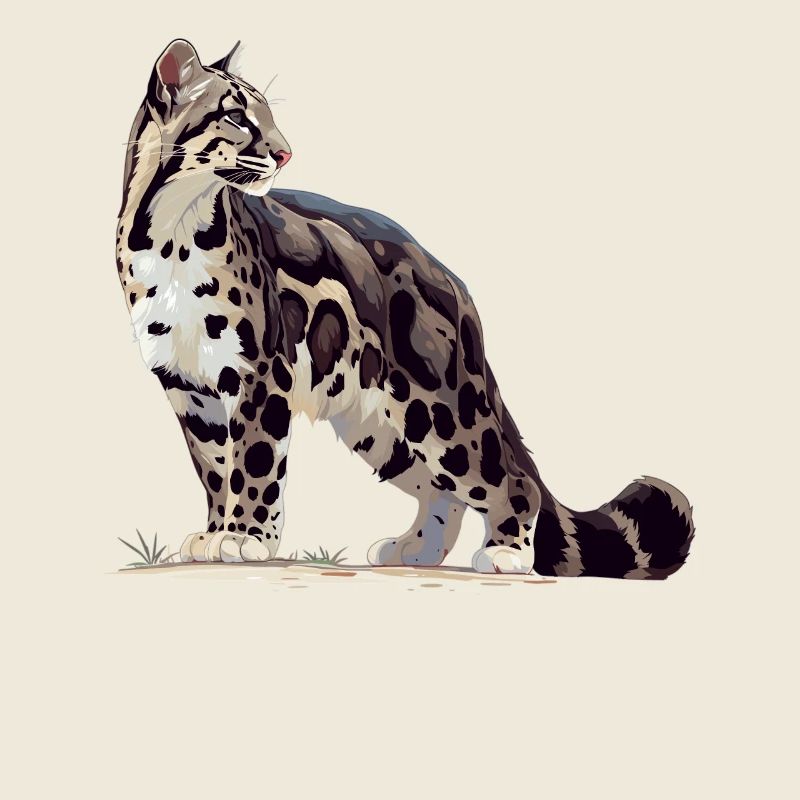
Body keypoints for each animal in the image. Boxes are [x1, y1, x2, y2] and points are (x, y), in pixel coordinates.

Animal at [116, 39, 694, 578]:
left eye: (270, 115)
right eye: (236, 116)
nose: (285, 153)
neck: (173, 234)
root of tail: (451, 281)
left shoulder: (260, 372)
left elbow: (253, 462)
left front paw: (246, 538)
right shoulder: (187, 385)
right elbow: (216, 469)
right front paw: (217, 532)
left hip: (441, 410)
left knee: (510, 478)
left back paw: (505, 552)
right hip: (382, 423)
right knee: (442, 492)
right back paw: (416, 549)